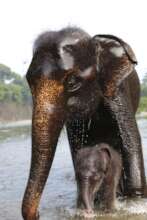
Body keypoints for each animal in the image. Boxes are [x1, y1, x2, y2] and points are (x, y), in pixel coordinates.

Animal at [21, 27, 146, 220]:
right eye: (29, 83)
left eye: (72, 83)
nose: (40, 213)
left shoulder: (118, 92)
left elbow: (130, 142)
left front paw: (134, 203)